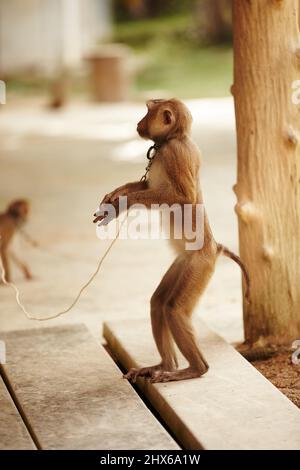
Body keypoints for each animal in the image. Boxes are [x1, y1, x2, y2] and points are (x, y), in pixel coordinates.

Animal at [94, 99, 251, 382]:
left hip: (199, 265)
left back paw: (194, 369)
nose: (139, 122)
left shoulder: (174, 153)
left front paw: (123, 202)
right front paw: (117, 195)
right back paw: (164, 364)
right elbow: (146, 187)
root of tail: (214, 247)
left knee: (173, 309)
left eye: (147, 111)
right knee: (158, 303)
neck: (173, 139)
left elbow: (182, 197)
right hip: (184, 262)